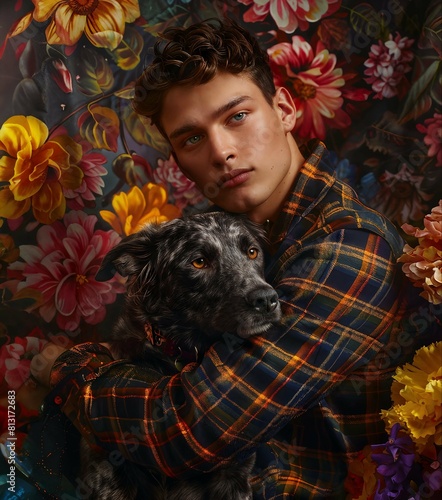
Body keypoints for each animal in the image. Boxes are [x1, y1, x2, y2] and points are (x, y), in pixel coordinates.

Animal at [80, 212, 282, 500]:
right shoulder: (109, 475)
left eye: (252, 252)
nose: (266, 299)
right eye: (199, 262)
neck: (183, 354)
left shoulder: (234, 477)